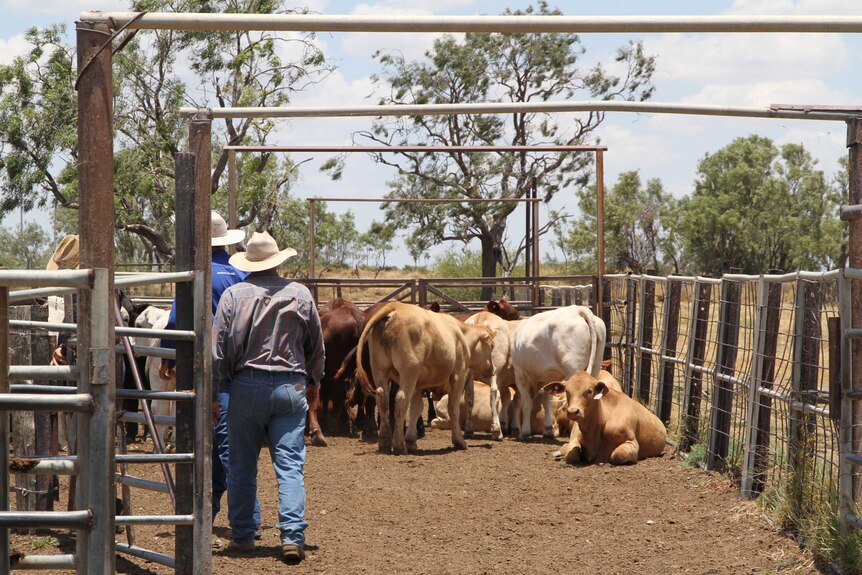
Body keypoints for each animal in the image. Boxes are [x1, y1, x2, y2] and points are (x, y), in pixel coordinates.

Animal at [356, 302, 492, 454]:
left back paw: (385, 442)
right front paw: (459, 441)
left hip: (380, 371)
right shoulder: (458, 376)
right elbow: (453, 408)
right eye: (491, 346)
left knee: (382, 399)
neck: (462, 335)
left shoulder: (418, 384)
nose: (492, 369)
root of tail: (395, 306)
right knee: (401, 399)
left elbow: (416, 408)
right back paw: (399, 445)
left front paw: (411, 441)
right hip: (408, 372)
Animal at [512, 306, 608, 440]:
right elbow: (547, 399)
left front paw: (524, 432)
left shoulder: (520, 373)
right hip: (596, 365)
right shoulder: (548, 377)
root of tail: (578, 309)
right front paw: (547, 430)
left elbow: (527, 402)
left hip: (573, 367)